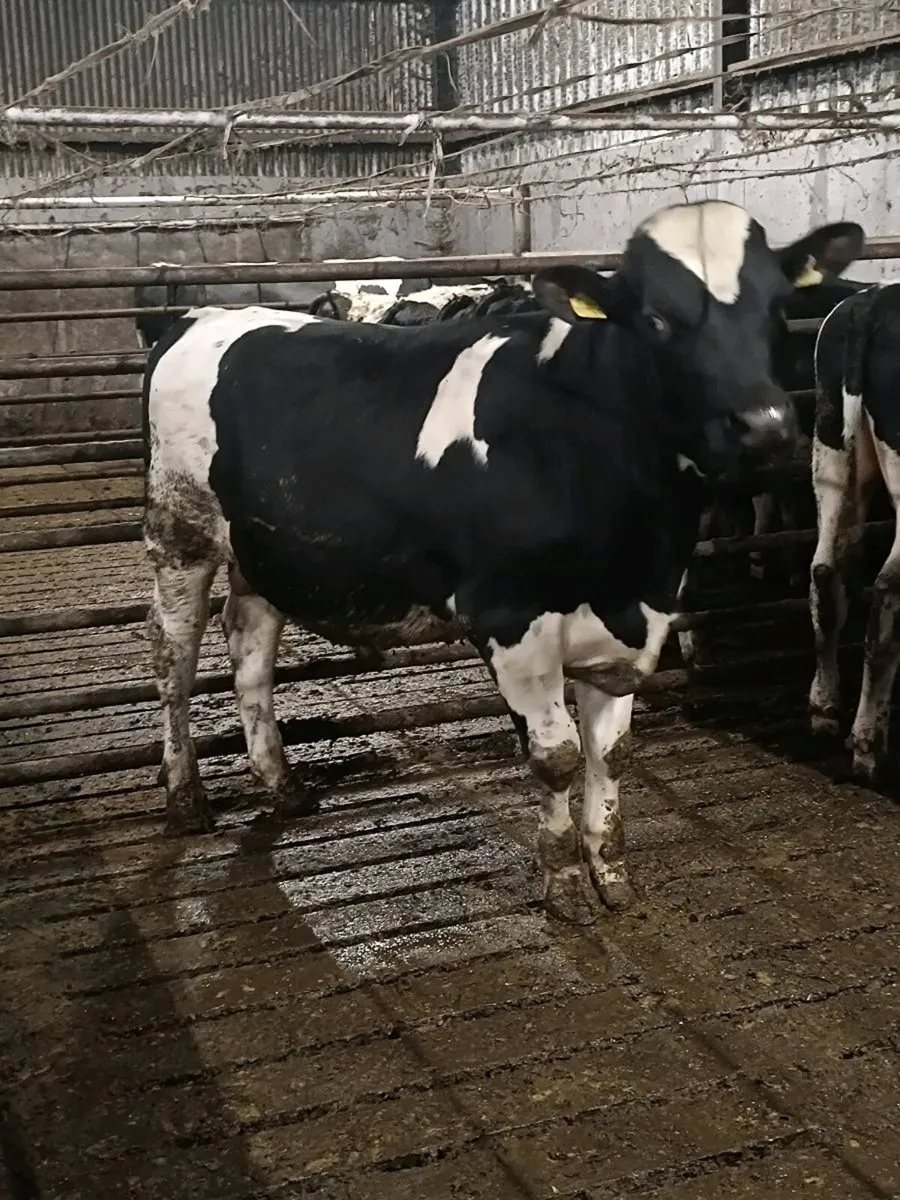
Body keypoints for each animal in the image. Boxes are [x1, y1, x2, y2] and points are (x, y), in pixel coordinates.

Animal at [143, 199, 863, 924]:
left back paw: (281, 782)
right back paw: (185, 798)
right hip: (179, 533)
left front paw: (611, 873)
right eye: (657, 319)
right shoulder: (511, 618)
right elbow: (556, 757)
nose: (767, 425)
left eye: (778, 308)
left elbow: (612, 753)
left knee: (250, 645)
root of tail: (202, 317)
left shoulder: (635, 617)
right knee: (174, 659)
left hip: (259, 549)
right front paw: (565, 883)